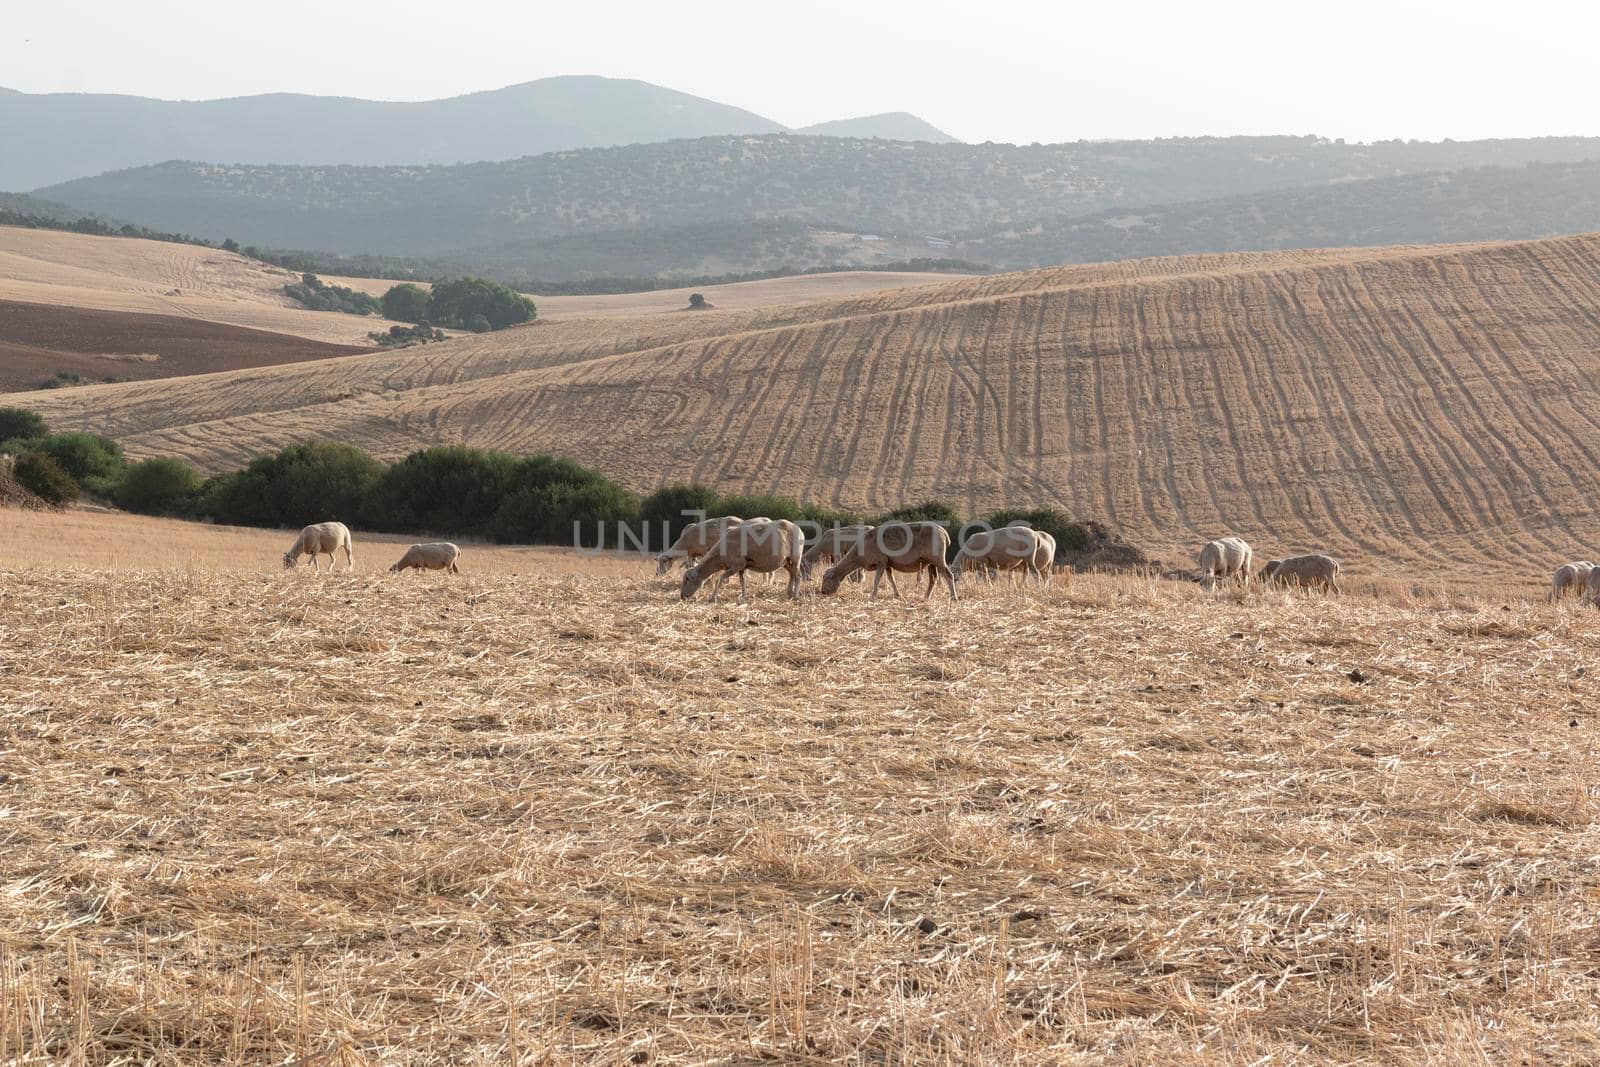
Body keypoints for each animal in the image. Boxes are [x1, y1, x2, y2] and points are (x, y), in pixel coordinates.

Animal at [819, 524, 953, 601]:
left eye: (827, 579)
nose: (822, 592)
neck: (857, 555)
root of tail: (944, 532)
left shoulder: (881, 561)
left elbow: (877, 580)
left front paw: (872, 596)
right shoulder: (888, 563)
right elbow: (891, 579)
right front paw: (898, 595)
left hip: (937, 558)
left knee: (948, 575)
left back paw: (953, 598)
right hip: (930, 561)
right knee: (933, 578)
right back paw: (926, 597)